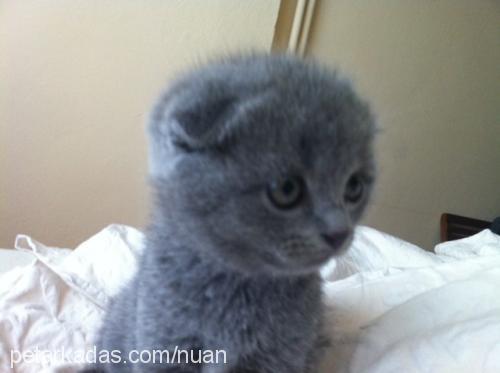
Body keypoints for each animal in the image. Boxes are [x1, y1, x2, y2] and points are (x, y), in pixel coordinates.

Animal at [85, 53, 376, 372]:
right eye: (286, 189)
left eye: (354, 187)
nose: (339, 232)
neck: (238, 286)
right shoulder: (165, 340)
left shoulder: (278, 355)